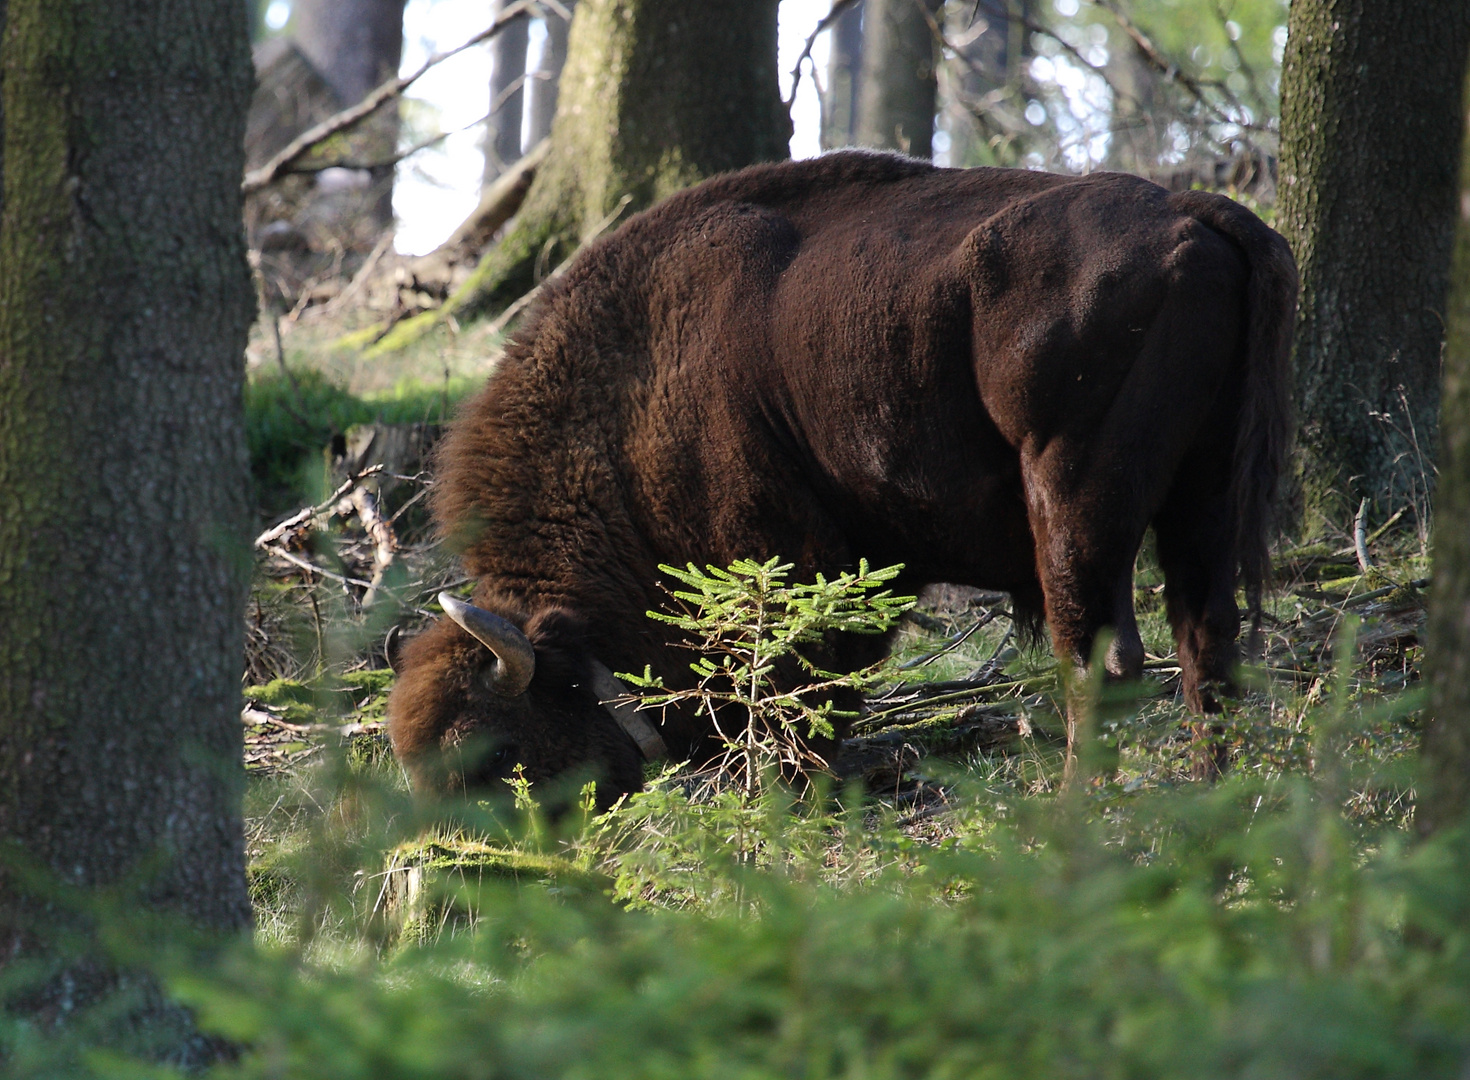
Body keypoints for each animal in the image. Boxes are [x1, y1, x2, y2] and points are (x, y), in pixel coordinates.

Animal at [385, 154, 1293, 805]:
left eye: (496, 749)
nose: (466, 871)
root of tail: (1194, 211)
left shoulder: (785, 559)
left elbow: (804, 693)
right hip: (1205, 490)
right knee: (1207, 643)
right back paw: (1216, 805)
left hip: (1074, 497)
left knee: (1099, 661)